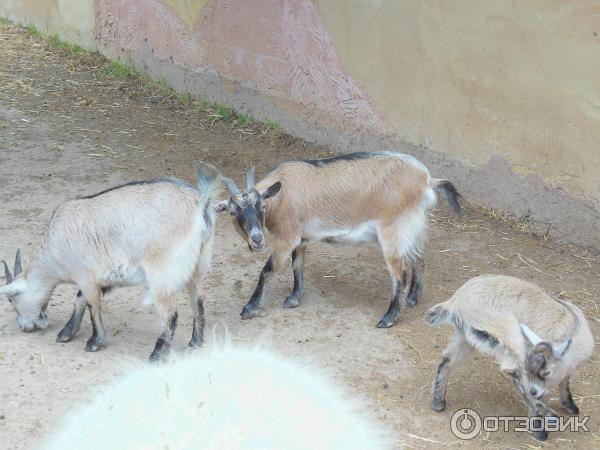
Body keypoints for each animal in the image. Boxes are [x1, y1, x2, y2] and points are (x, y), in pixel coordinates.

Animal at [0, 165, 220, 362]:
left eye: (11, 298)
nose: (24, 326)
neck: (55, 250)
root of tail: (200, 204)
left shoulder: (86, 277)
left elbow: (92, 307)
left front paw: (94, 342)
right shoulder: (100, 278)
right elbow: (80, 300)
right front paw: (66, 333)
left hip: (162, 273)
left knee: (170, 314)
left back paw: (157, 355)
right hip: (197, 265)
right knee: (198, 302)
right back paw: (195, 342)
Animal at [218, 151, 462, 326]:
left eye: (262, 206)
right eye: (233, 212)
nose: (257, 239)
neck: (282, 193)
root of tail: (427, 180)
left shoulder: (286, 238)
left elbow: (267, 270)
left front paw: (249, 308)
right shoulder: (301, 237)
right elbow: (298, 265)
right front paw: (294, 298)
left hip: (393, 231)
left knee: (399, 274)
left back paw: (388, 318)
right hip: (412, 229)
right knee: (419, 259)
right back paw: (412, 299)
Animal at [428, 274, 592, 440]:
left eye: (546, 372)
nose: (534, 391)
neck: (573, 328)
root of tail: (456, 300)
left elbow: (564, 382)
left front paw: (571, 406)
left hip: (466, 336)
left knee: (446, 362)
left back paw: (438, 402)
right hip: (507, 336)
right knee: (515, 372)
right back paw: (543, 423)